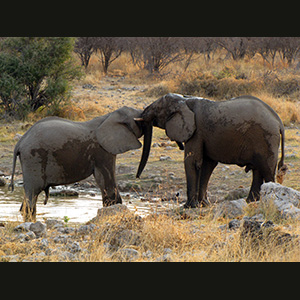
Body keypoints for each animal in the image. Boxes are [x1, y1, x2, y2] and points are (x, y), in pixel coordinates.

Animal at [8, 106, 152, 219]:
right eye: (141, 122)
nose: (137, 176)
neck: (110, 116)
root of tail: (19, 143)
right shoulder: (102, 151)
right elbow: (107, 181)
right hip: (33, 157)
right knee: (32, 194)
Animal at [135, 94, 286, 209]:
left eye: (157, 109)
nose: (137, 177)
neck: (184, 100)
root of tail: (279, 122)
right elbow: (207, 165)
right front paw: (203, 204)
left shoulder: (196, 131)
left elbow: (193, 161)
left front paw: (188, 206)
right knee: (258, 170)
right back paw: (250, 202)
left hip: (266, 139)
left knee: (267, 170)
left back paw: (267, 202)